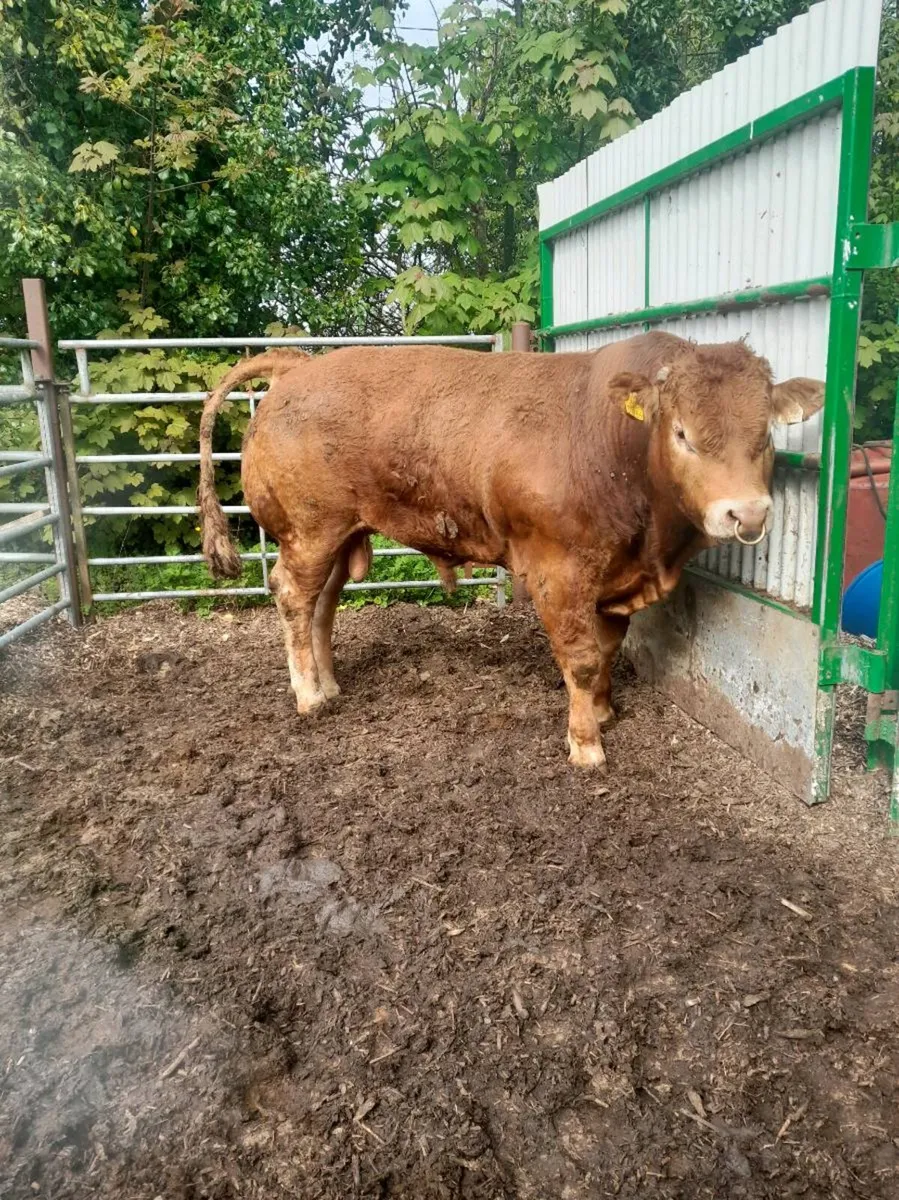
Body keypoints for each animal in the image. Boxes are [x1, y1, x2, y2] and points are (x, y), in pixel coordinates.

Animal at [198, 333, 823, 769]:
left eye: (765, 435)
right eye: (682, 435)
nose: (747, 513)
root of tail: (299, 367)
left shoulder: (611, 578)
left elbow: (607, 648)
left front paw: (602, 711)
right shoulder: (559, 570)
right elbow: (582, 656)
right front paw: (586, 745)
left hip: (340, 534)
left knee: (322, 604)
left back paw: (328, 683)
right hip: (310, 530)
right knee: (292, 596)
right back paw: (309, 695)